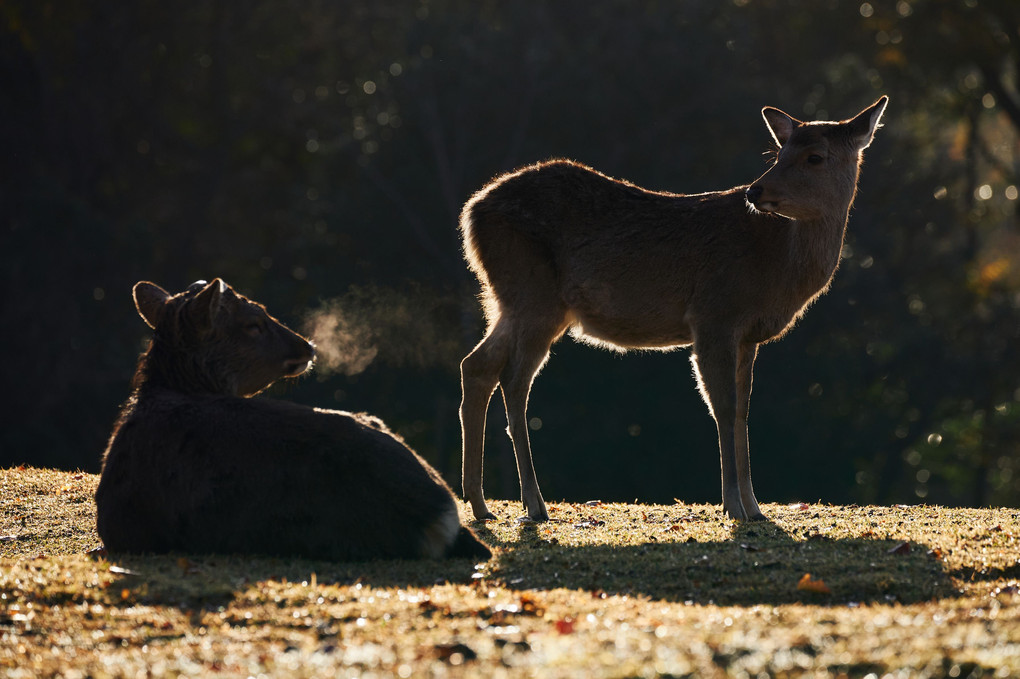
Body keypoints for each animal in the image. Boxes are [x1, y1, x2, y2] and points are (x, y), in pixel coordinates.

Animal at [459, 95, 889, 519]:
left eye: (815, 156)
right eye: (779, 153)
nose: (755, 192)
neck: (778, 267)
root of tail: (471, 212)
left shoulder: (747, 336)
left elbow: (742, 410)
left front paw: (755, 508)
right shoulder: (714, 314)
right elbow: (723, 407)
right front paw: (734, 505)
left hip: (512, 300)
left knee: (477, 365)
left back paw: (480, 504)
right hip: (535, 295)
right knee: (513, 379)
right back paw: (533, 504)